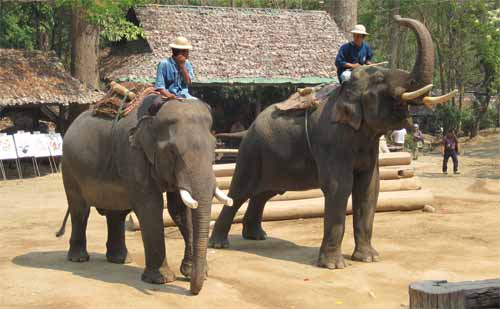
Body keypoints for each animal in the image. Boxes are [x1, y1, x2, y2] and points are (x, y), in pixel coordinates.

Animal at [57, 96, 234, 294]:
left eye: (214, 147)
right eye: (172, 151)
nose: (192, 291)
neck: (155, 113)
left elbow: (181, 210)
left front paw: (192, 273)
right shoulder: (132, 153)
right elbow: (150, 206)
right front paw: (161, 280)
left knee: (116, 213)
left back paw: (120, 259)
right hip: (69, 168)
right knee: (80, 210)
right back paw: (79, 258)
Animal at [209, 15, 458, 268]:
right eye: (380, 79)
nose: (397, 18)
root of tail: (249, 126)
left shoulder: (369, 147)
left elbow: (370, 188)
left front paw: (369, 258)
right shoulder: (332, 141)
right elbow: (340, 186)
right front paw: (334, 265)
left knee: (264, 192)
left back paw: (257, 236)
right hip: (251, 152)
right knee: (240, 191)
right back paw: (219, 244)